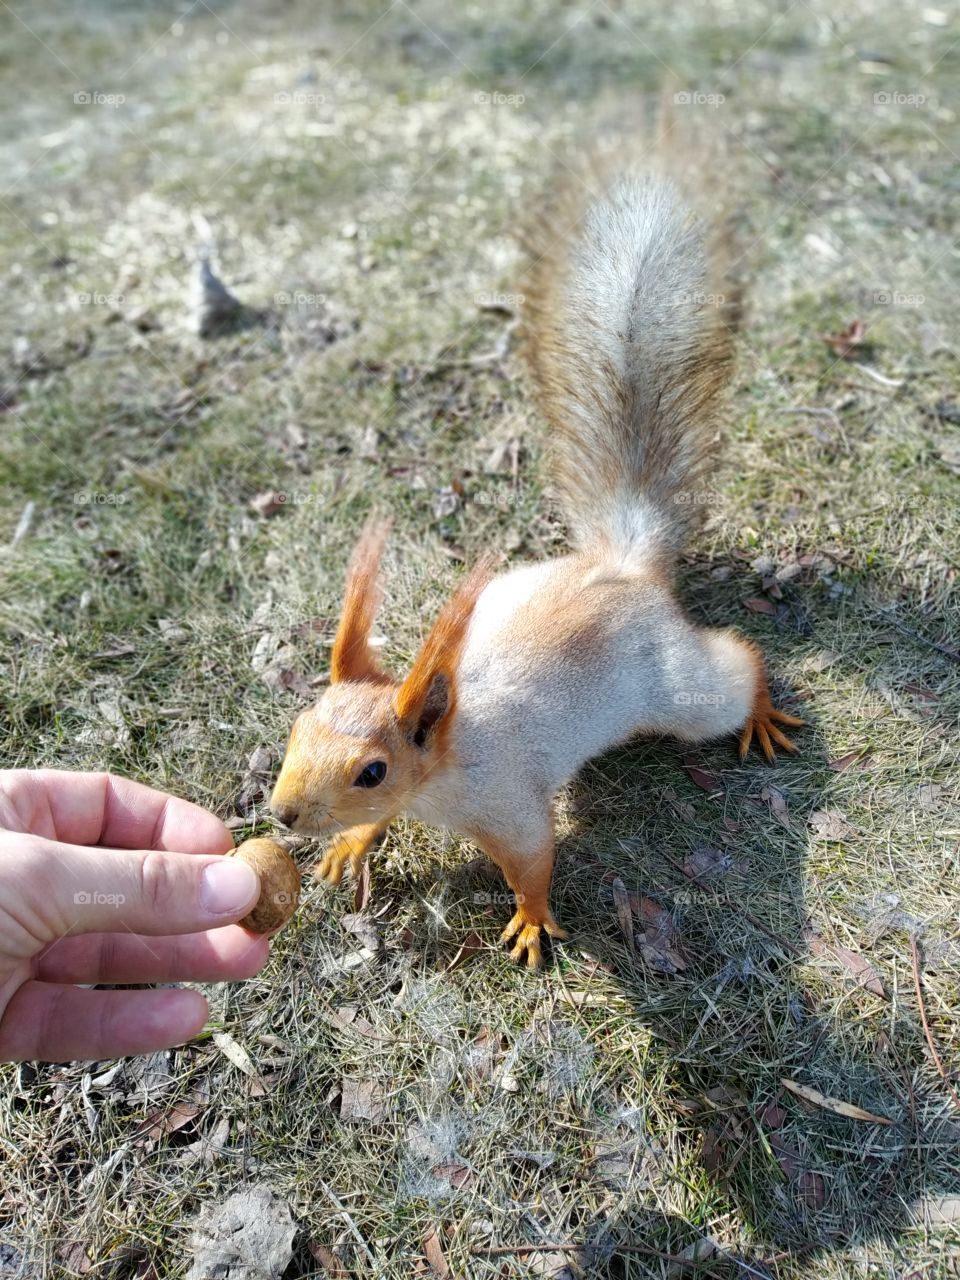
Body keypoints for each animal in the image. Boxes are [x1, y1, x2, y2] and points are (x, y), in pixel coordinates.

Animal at [269, 164, 803, 967]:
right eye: (298, 728)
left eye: (373, 771)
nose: (283, 814)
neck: (448, 761)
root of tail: (624, 569)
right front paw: (352, 843)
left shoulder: (511, 804)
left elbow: (533, 862)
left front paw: (529, 921)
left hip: (681, 691)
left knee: (734, 669)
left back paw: (763, 713)